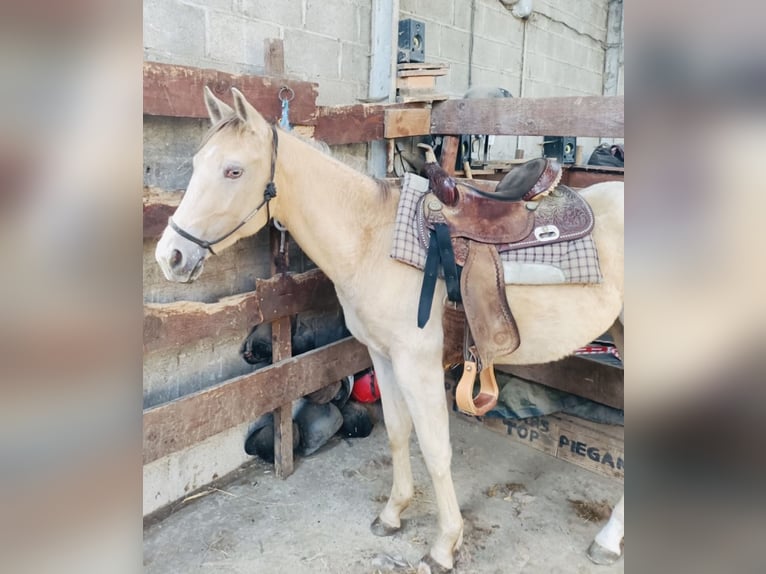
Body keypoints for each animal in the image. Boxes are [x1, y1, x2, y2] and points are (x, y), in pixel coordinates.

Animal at [154, 88, 624, 572]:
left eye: (234, 170)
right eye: (197, 163)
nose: (170, 256)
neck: (371, 241)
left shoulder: (418, 363)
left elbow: (435, 449)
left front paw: (444, 546)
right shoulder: (382, 355)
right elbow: (399, 434)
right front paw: (393, 513)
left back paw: (607, 540)